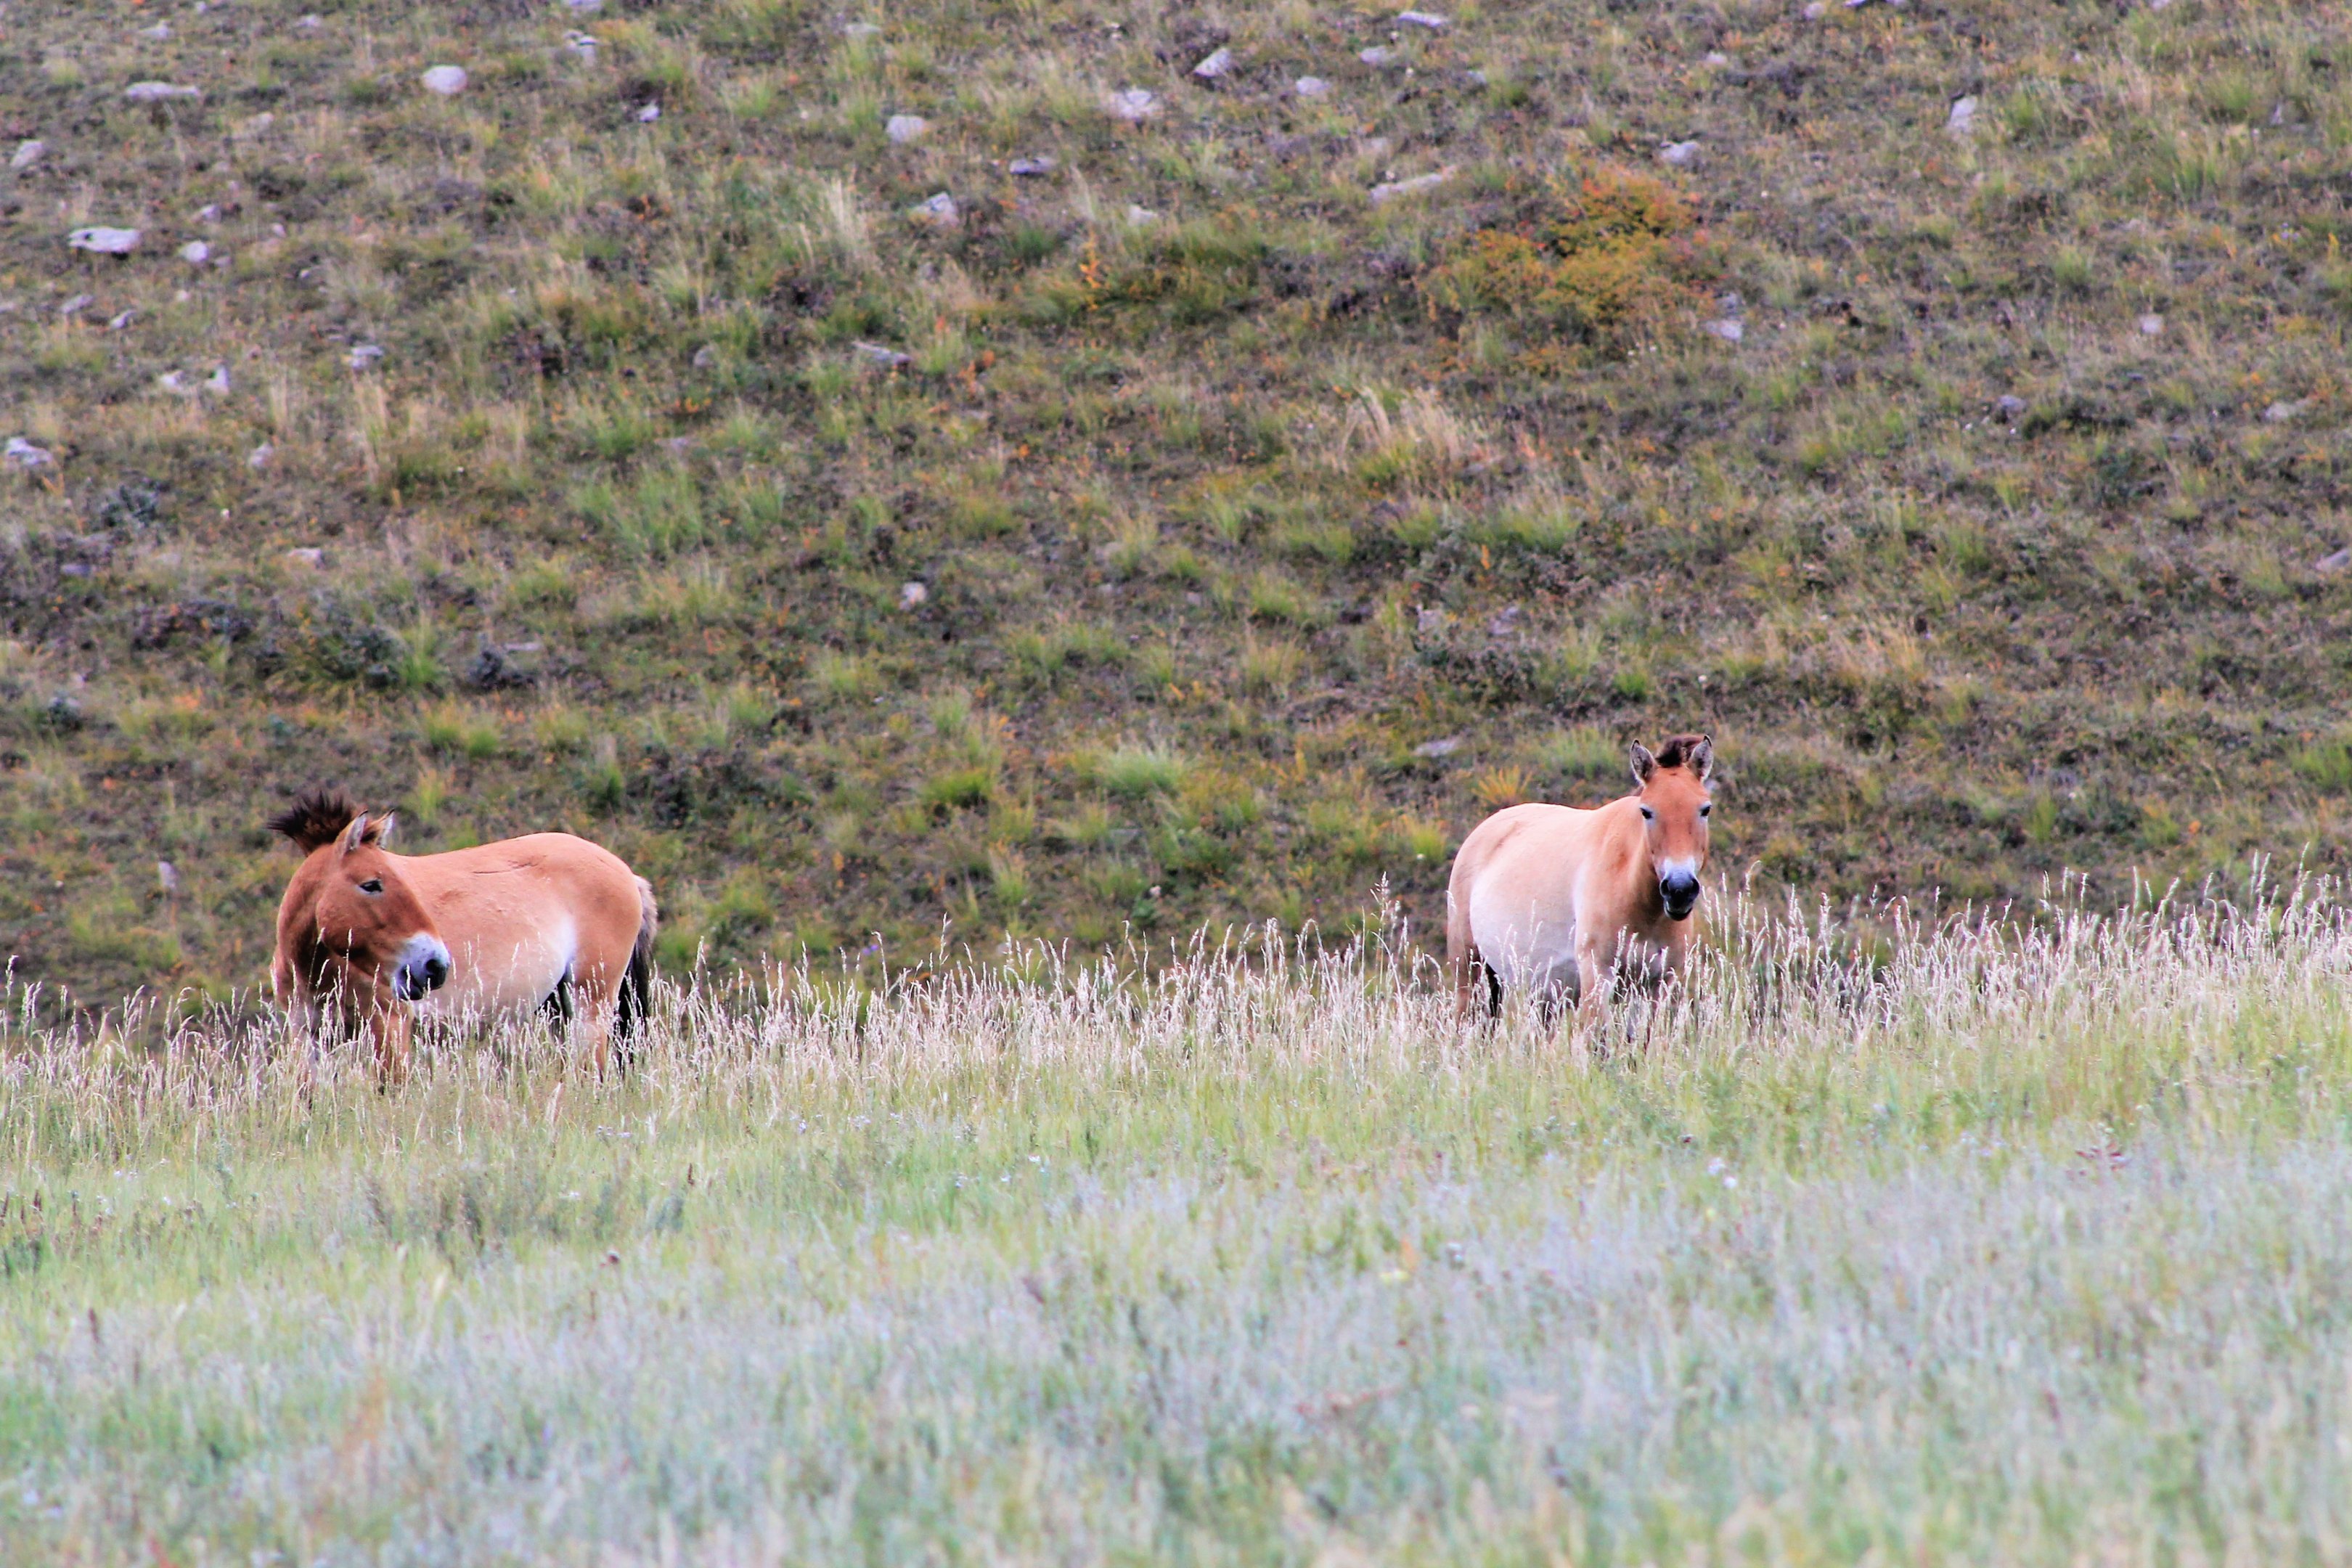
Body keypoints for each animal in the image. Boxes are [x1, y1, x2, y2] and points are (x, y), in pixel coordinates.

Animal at [267, 787, 657, 1082]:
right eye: (372, 884)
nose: (435, 965)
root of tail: (627, 874)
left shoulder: (390, 1024)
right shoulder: (306, 1033)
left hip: (591, 1001)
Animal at [1446, 733, 1714, 1026]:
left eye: (1705, 810)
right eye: (1646, 811)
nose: (1679, 889)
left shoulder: (1659, 984)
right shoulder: (1597, 975)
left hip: (1542, 993)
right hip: (1469, 972)